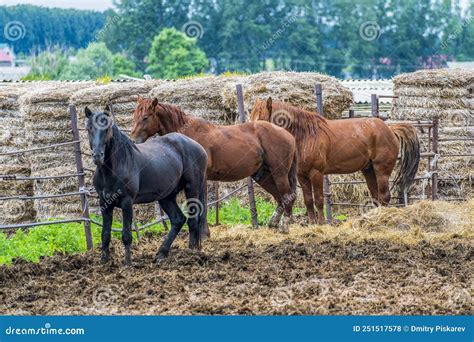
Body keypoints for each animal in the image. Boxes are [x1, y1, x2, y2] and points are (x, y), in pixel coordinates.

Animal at [86, 105, 207, 266]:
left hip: (192, 189)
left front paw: (127, 263)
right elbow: (105, 234)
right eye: (89, 128)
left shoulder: (127, 202)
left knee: (193, 221)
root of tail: (199, 147)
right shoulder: (104, 202)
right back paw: (162, 253)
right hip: (166, 196)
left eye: (107, 129)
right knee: (178, 219)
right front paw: (104, 262)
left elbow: (126, 235)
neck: (113, 169)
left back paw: (191, 253)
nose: (97, 156)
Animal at [130, 97, 298, 234]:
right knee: (280, 198)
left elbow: (201, 205)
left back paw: (284, 227)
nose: (132, 140)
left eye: (145, 117)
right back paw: (274, 223)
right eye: (134, 116)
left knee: (287, 196)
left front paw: (204, 232)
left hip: (279, 174)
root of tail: (288, 135)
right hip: (263, 176)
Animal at [250, 97, 420, 224]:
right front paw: (312, 223)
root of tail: (390, 129)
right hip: (369, 170)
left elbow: (319, 200)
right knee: (376, 196)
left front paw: (322, 223)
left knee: (385, 196)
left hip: (381, 170)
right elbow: (308, 200)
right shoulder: (302, 176)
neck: (306, 136)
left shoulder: (316, 174)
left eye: (261, 119)